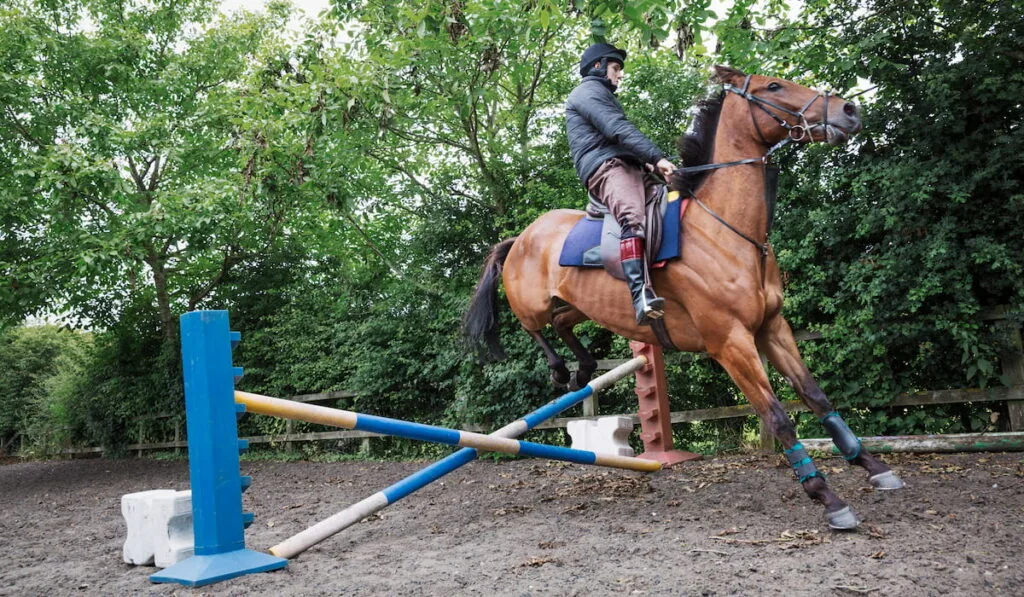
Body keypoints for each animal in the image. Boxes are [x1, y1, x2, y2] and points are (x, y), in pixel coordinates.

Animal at [464, 65, 905, 528]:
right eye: (774, 86)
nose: (850, 111)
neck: (725, 229)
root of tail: (520, 238)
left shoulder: (772, 328)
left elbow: (816, 397)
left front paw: (873, 466)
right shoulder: (731, 343)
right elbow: (778, 417)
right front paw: (826, 496)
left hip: (580, 305)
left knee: (564, 322)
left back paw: (583, 368)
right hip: (532, 303)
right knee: (534, 327)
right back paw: (560, 370)